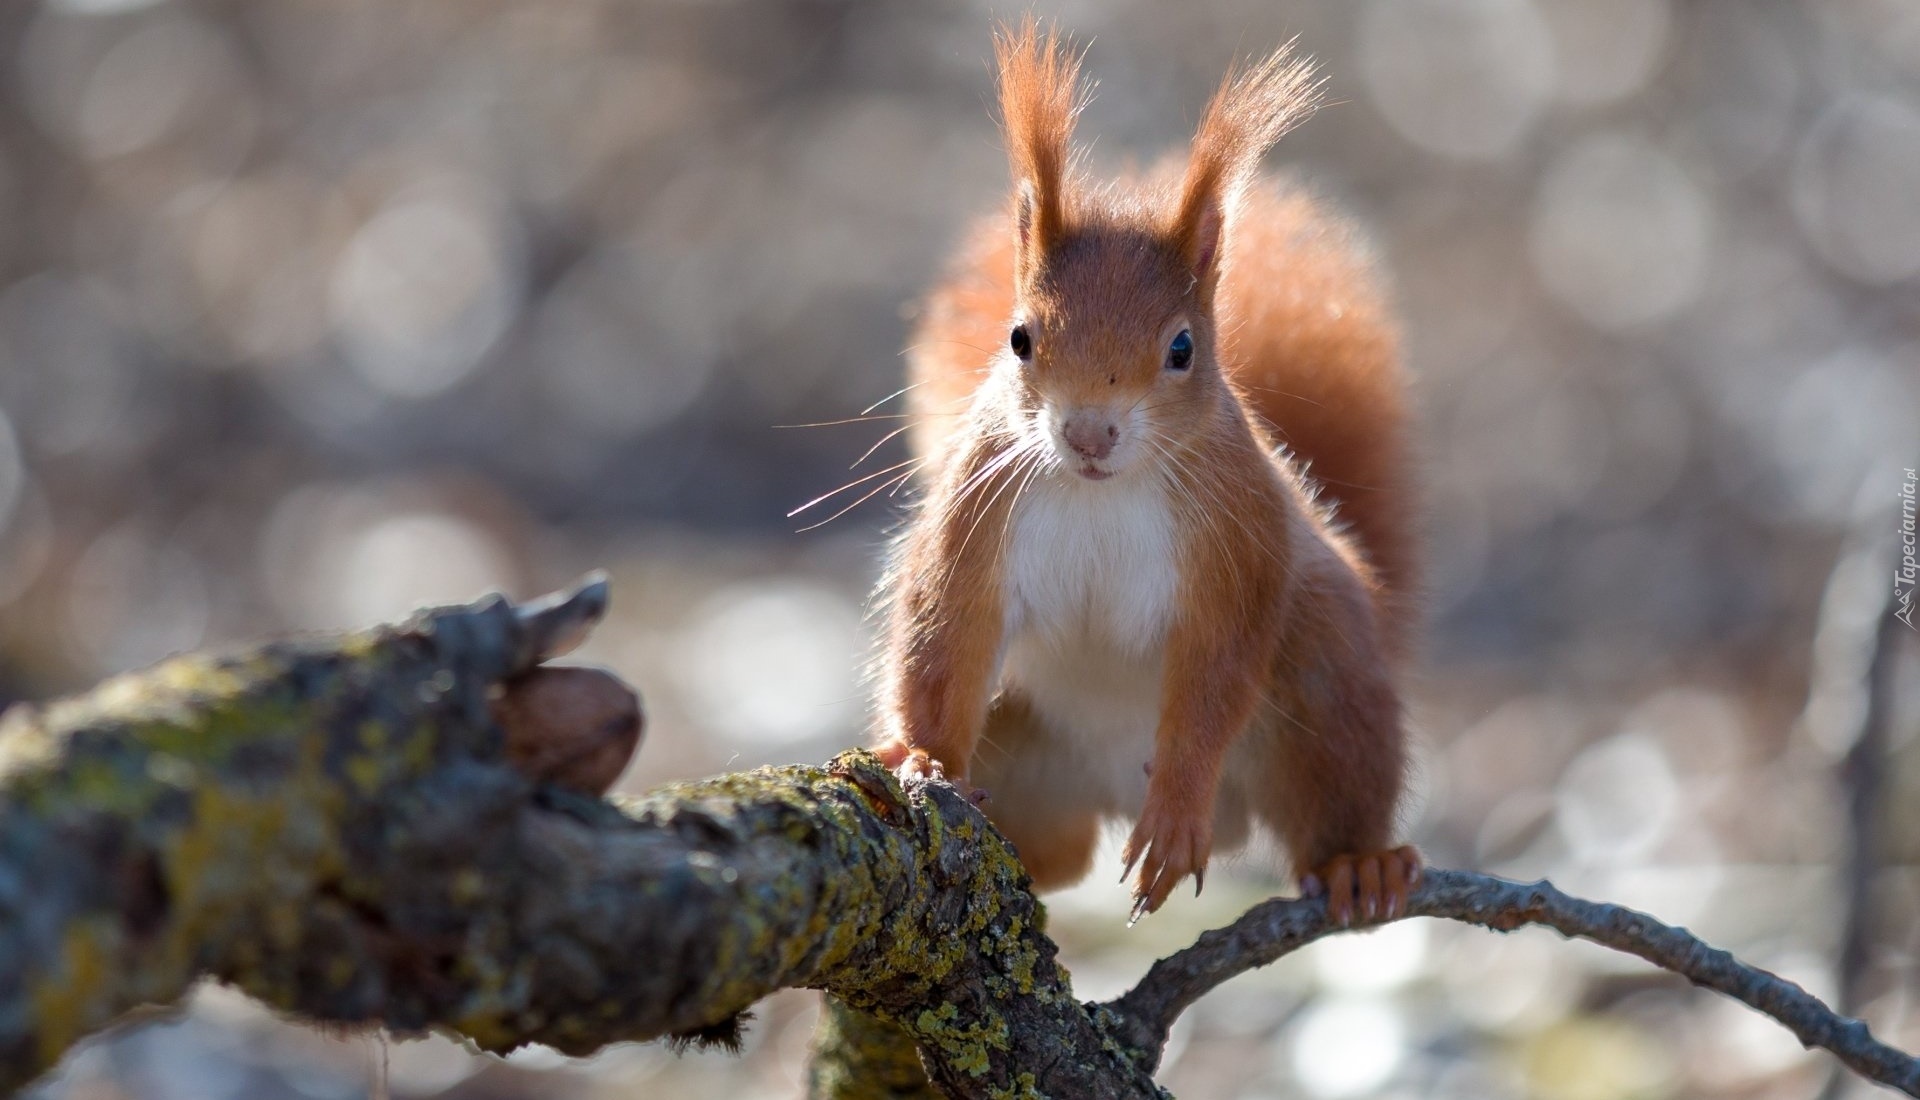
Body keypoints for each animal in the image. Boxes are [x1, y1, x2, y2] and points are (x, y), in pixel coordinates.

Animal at [879, 21, 1420, 921]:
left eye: (1182, 349)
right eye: (1019, 337)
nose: (1089, 434)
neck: (1101, 494)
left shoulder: (1235, 552)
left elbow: (1212, 682)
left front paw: (1173, 818)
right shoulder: (976, 516)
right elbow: (945, 640)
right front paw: (923, 760)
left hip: (1326, 679)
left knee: (1332, 793)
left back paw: (1358, 864)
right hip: (1023, 748)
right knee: (1052, 855)